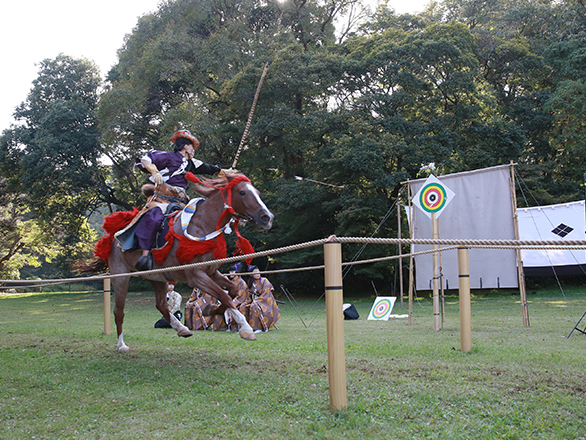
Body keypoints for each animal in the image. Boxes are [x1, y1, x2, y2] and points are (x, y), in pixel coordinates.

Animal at [107, 172, 272, 350]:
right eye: (242, 192)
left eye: (257, 192)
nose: (267, 217)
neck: (202, 225)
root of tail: (113, 239)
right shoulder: (196, 275)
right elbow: (224, 295)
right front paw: (246, 328)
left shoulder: (211, 271)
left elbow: (233, 291)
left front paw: (211, 310)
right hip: (121, 277)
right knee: (119, 311)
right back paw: (121, 345)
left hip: (157, 277)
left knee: (161, 304)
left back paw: (181, 328)